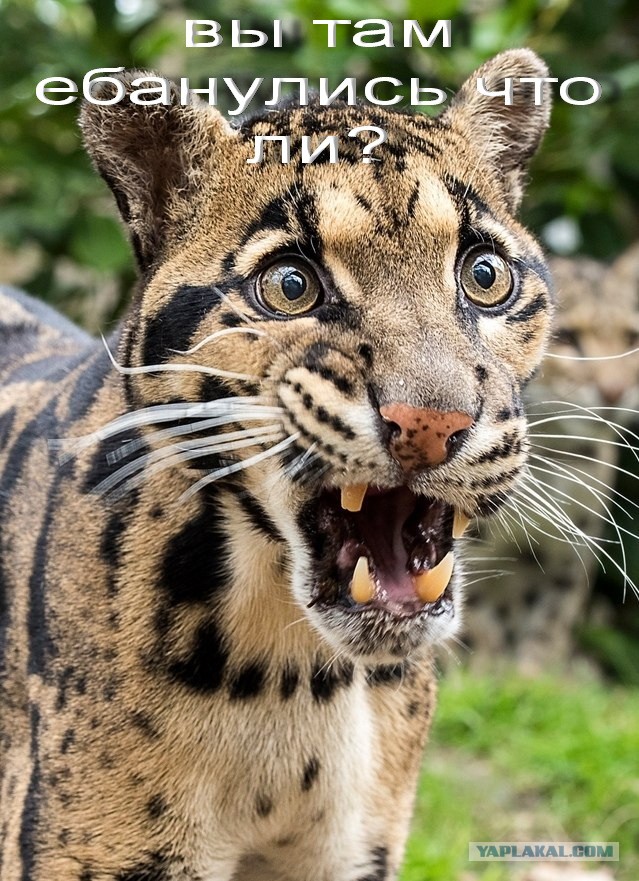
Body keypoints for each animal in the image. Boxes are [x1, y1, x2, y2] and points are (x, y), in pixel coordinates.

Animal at [459, 244, 639, 674]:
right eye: (569, 337)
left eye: (631, 337)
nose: (615, 389)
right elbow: (473, 621)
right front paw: (485, 672)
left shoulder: (570, 556)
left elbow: (550, 624)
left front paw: (533, 675)